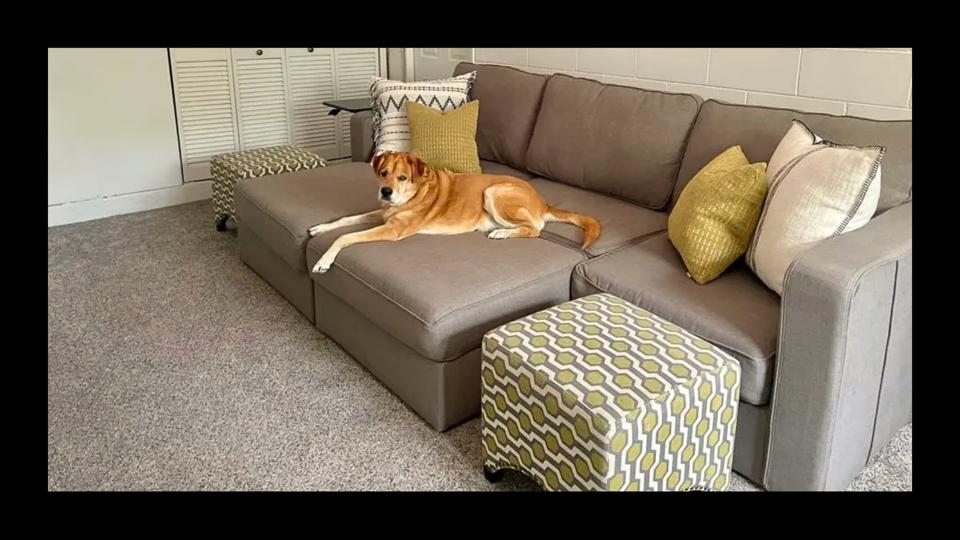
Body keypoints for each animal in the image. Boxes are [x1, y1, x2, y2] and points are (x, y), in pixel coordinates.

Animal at [308, 152, 600, 274]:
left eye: (402, 177)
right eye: (383, 173)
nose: (385, 192)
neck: (415, 192)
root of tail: (543, 200)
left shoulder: (392, 229)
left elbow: (346, 237)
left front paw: (324, 261)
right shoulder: (382, 216)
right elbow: (346, 220)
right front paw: (321, 227)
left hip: (493, 192)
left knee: (535, 229)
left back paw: (501, 234)